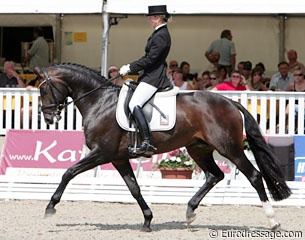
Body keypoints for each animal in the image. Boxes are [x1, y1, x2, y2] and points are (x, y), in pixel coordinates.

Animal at [34, 62, 290, 232]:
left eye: (43, 89)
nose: (48, 117)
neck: (99, 102)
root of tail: (229, 101)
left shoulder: (101, 153)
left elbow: (69, 172)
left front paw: (50, 208)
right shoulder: (118, 158)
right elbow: (134, 188)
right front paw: (147, 220)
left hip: (230, 148)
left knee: (254, 176)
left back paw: (273, 221)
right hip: (198, 148)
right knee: (214, 175)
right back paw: (189, 213)